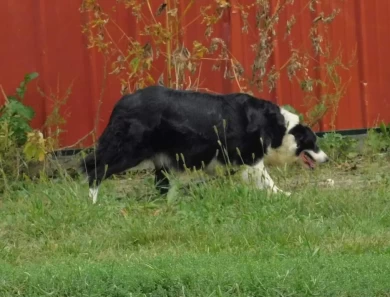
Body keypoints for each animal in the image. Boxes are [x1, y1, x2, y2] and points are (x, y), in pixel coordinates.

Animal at [82, 84, 330, 202]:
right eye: (314, 143)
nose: (327, 159)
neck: (278, 128)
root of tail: (121, 103)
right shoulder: (249, 157)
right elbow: (266, 180)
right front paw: (282, 195)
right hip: (128, 152)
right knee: (95, 171)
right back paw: (93, 202)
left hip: (160, 160)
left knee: (161, 187)